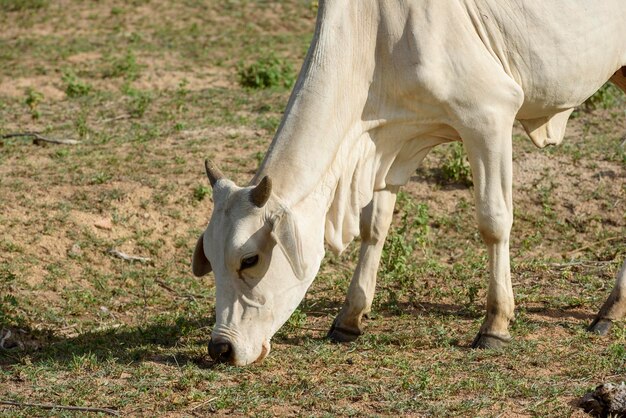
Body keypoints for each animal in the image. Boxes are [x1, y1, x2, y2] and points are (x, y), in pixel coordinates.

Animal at [191, 0, 624, 364]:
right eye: (209, 258)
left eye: (250, 259)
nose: (221, 348)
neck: (373, 36)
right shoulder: (388, 145)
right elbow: (374, 228)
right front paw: (349, 318)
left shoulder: (489, 115)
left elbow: (493, 222)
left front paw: (496, 325)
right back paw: (610, 309)